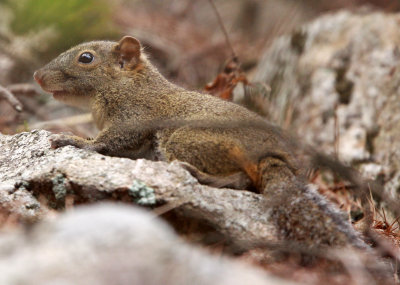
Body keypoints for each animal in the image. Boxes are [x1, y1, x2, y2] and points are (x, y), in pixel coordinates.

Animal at [33, 35, 366, 248]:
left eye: (86, 58)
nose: (37, 76)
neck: (130, 84)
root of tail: (273, 156)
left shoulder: (135, 118)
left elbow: (109, 141)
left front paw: (75, 140)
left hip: (186, 140)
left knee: (243, 179)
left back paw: (199, 174)